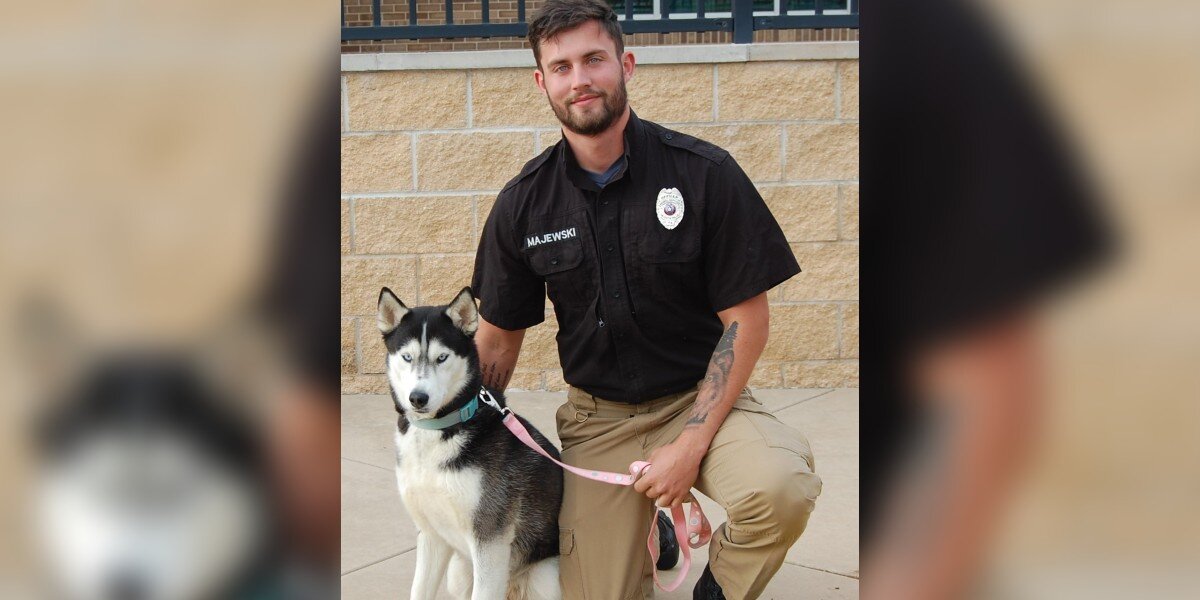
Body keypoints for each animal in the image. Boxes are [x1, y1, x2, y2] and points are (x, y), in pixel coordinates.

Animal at [374, 286, 561, 600]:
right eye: (407, 357)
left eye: (442, 357)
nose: (418, 398)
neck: (437, 431)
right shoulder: (431, 535)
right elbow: (419, 590)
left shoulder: (490, 540)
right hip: (460, 573)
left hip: (545, 577)